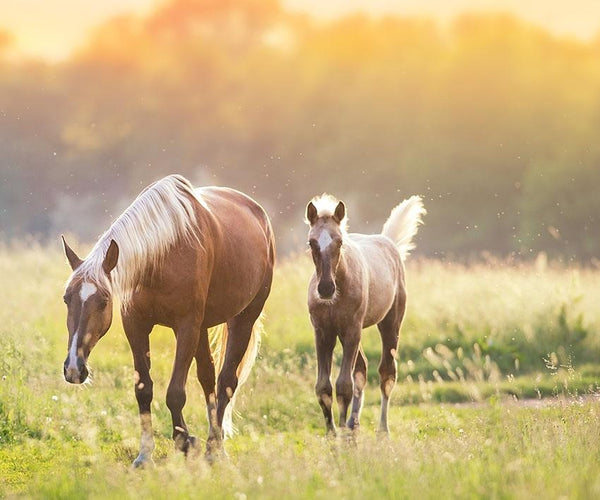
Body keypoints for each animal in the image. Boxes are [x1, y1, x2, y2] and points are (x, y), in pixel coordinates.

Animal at [62, 175, 276, 464]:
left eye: (104, 302)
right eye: (66, 299)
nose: (74, 369)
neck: (161, 257)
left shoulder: (186, 327)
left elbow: (175, 393)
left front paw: (185, 442)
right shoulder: (136, 326)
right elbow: (143, 390)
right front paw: (144, 455)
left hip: (243, 318)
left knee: (226, 382)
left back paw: (214, 448)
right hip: (203, 327)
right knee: (208, 377)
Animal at [308, 193, 424, 436]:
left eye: (339, 242)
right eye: (311, 243)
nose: (325, 288)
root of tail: (388, 242)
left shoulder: (351, 330)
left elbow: (343, 386)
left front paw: (343, 437)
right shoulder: (323, 333)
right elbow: (324, 387)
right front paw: (333, 435)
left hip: (389, 324)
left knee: (387, 373)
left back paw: (382, 431)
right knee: (361, 369)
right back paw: (354, 425)